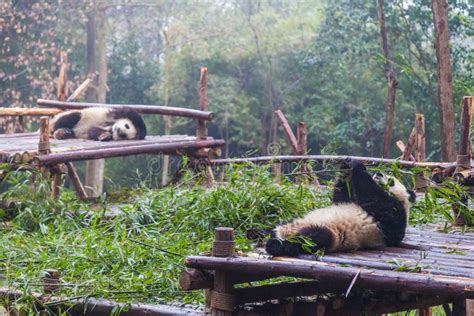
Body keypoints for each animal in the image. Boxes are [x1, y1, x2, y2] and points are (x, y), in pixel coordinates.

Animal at [264, 160, 416, 256]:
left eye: (392, 181)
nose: (378, 174)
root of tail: (284, 232)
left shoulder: (393, 214)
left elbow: (373, 195)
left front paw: (357, 165)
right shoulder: (347, 200)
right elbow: (341, 196)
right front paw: (345, 166)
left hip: (330, 234)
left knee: (310, 238)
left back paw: (275, 245)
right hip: (294, 221)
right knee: (276, 227)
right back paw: (262, 232)